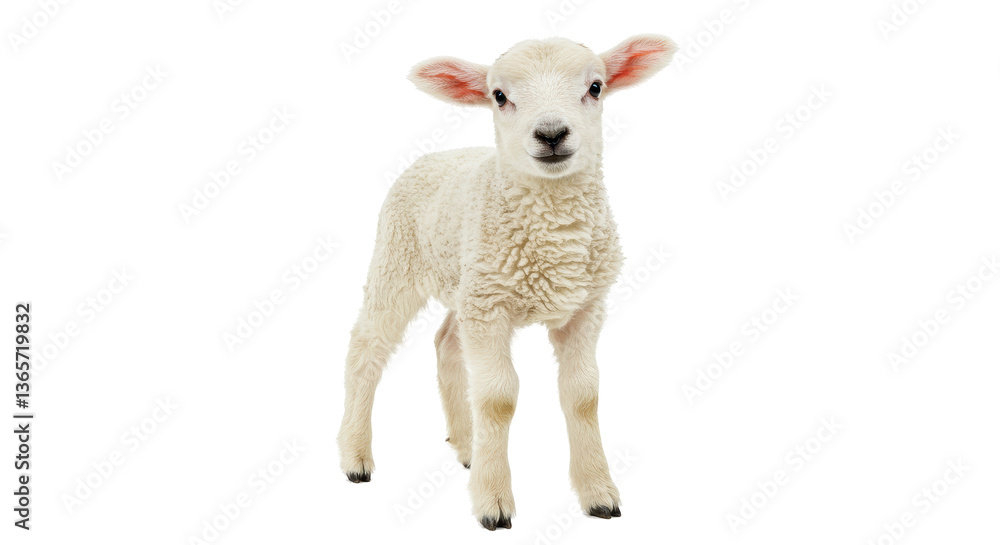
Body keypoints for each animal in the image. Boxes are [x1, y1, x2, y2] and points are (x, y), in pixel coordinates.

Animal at [338, 34, 677, 530]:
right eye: (499, 96)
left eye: (595, 87)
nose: (552, 134)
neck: (554, 235)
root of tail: (438, 155)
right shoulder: (491, 309)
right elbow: (498, 399)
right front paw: (493, 502)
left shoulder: (585, 307)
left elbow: (583, 395)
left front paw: (598, 493)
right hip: (398, 263)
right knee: (366, 349)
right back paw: (355, 457)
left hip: (465, 284)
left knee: (445, 342)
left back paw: (466, 447)